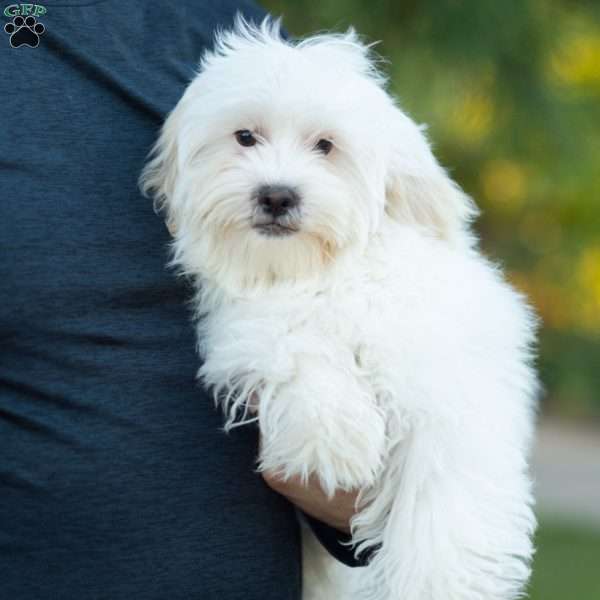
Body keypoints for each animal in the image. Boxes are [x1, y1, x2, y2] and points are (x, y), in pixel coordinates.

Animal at [142, 16, 540, 596]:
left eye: (325, 146)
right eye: (245, 137)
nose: (277, 195)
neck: (329, 275)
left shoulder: (449, 390)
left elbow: (441, 499)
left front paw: (433, 581)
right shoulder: (250, 323)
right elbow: (296, 348)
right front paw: (333, 438)